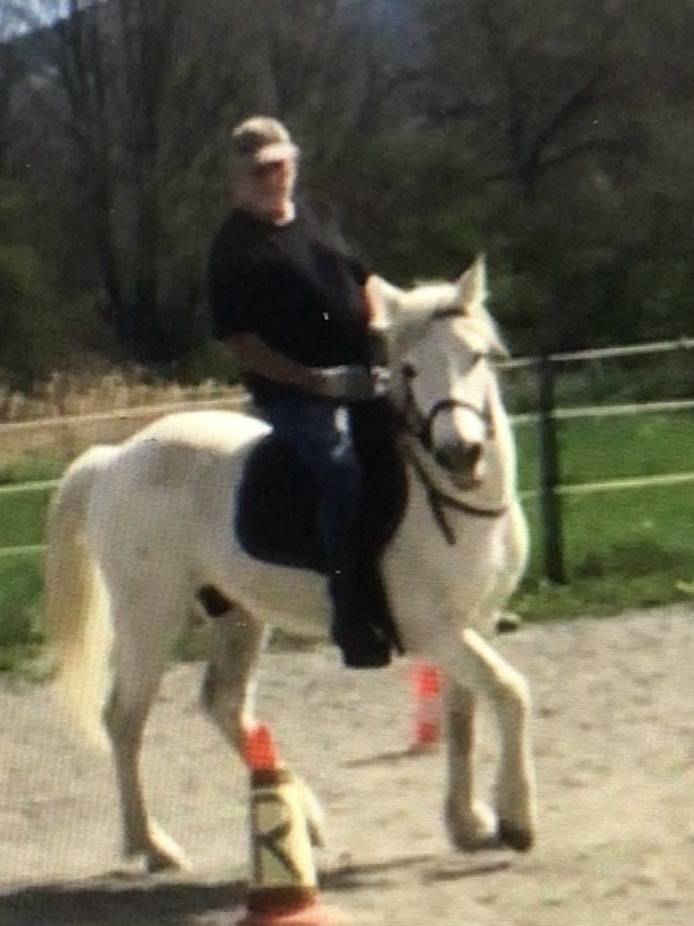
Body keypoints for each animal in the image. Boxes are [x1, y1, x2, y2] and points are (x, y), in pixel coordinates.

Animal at [44, 255, 537, 873]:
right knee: (125, 719)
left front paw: (468, 824)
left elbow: (464, 717)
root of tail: (114, 459)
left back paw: (302, 816)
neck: (444, 500)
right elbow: (510, 692)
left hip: (239, 614)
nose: (461, 453)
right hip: (149, 616)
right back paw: (153, 846)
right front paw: (516, 821)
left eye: (475, 356)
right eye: (408, 370)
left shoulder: (474, 622)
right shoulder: (434, 628)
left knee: (224, 705)